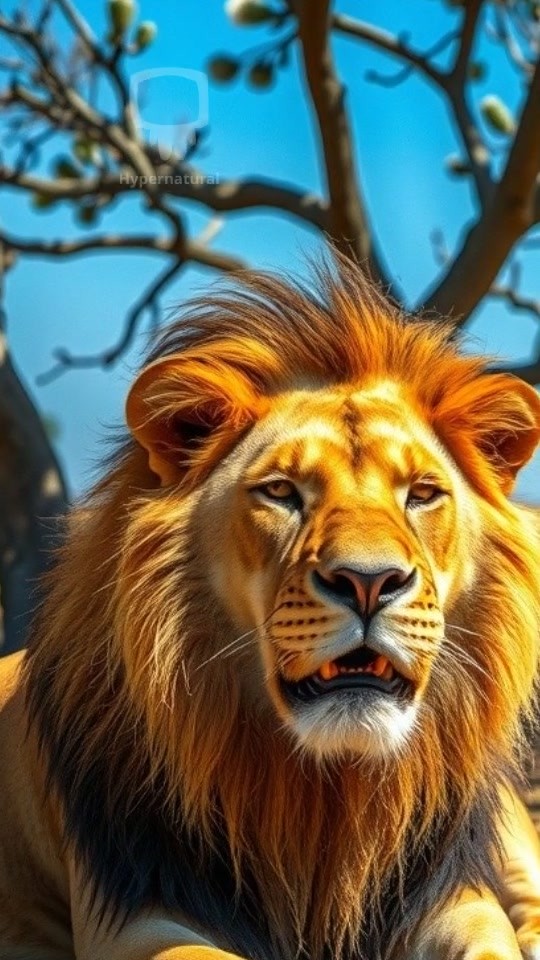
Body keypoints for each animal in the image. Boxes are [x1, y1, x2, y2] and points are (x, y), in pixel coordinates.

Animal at [0, 257, 540, 960]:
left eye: (422, 494)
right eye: (281, 492)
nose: (369, 582)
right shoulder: (142, 910)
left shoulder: (456, 899)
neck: (325, 792)